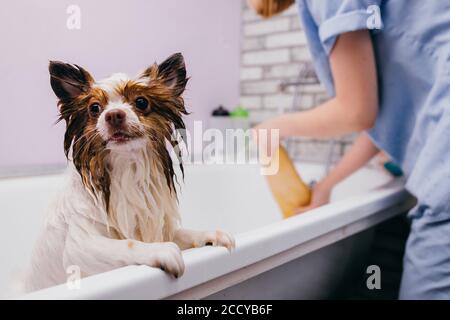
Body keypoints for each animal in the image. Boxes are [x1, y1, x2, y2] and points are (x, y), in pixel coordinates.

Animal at [23, 53, 236, 292]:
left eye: (141, 102)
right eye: (94, 108)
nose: (114, 115)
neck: (127, 169)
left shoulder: (158, 226)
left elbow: (181, 232)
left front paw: (209, 235)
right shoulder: (79, 247)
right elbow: (129, 243)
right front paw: (161, 249)